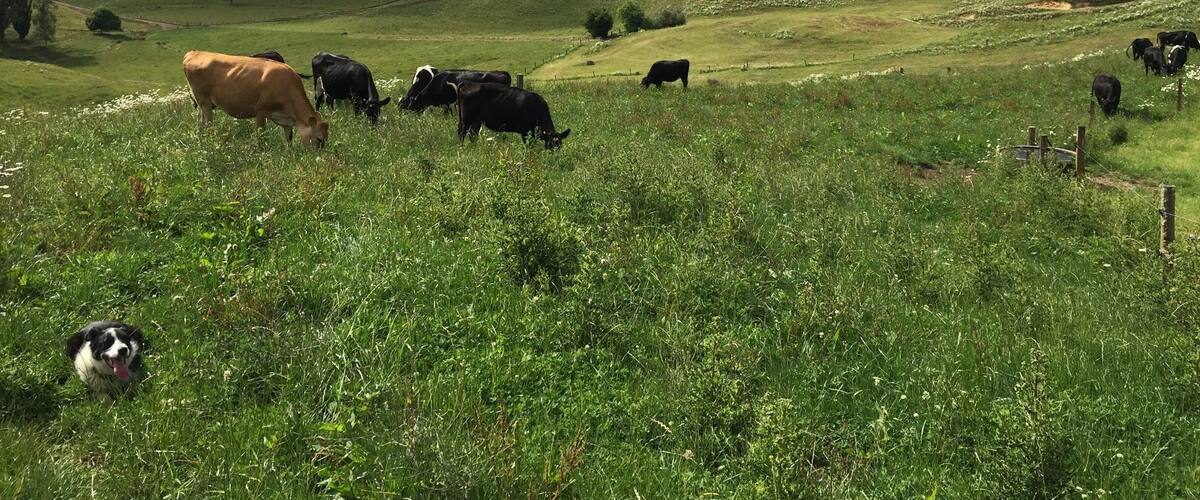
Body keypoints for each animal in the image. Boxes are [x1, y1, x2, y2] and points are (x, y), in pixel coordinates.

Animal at [183, 51, 328, 147]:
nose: (318, 158)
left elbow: (289, 138)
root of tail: (194, 52)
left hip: (201, 104)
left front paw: (290, 153)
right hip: (205, 102)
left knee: (199, 123)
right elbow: (261, 137)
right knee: (207, 125)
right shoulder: (261, 111)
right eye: (319, 139)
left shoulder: (286, 119)